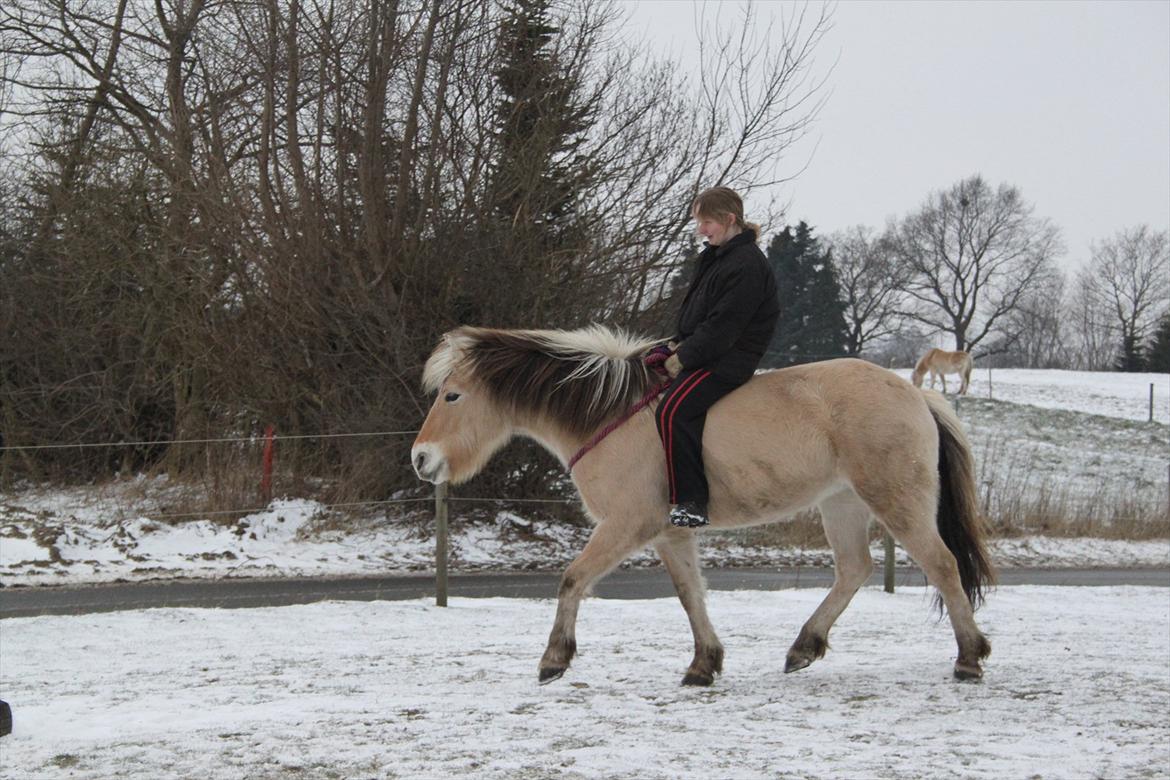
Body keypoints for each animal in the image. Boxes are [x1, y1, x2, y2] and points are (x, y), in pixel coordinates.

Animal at [411, 327, 996, 687]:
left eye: (452, 396)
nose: (420, 458)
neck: (610, 415)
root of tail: (916, 394)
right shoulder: (670, 532)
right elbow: (690, 594)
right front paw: (703, 664)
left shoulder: (626, 525)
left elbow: (572, 579)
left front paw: (554, 658)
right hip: (843, 504)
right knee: (854, 569)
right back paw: (803, 646)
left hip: (896, 500)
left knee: (942, 565)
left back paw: (969, 657)